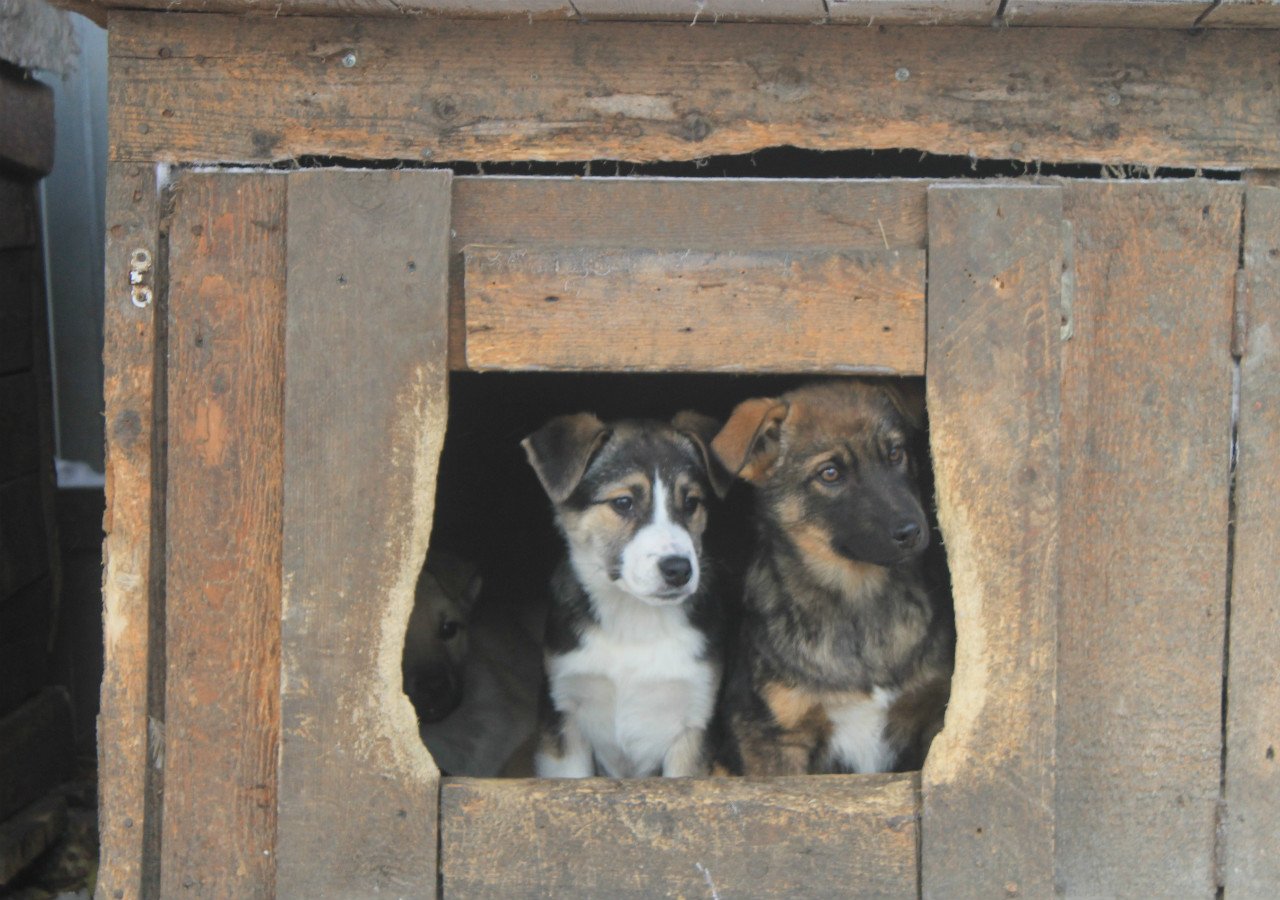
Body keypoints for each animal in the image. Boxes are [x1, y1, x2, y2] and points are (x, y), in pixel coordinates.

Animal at [522, 412, 732, 778]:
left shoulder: (695, 725)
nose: (679, 570)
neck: (633, 619)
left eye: (691, 503)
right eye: (623, 502)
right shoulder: (562, 717)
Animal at [711, 378, 952, 773]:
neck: (858, 597)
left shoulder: (932, 712)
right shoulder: (773, 737)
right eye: (830, 473)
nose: (913, 531)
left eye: (895, 454)